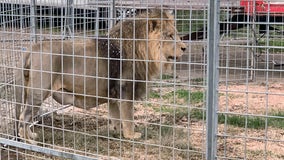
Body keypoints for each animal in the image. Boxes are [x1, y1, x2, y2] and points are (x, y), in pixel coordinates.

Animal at [15, 9, 187, 143]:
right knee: (24, 117)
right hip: (39, 92)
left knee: (26, 117)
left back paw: (31, 136)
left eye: (177, 35)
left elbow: (116, 116)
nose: (185, 48)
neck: (143, 50)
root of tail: (32, 48)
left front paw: (118, 131)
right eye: (170, 36)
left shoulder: (113, 94)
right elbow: (128, 116)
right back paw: (29, 141)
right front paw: (131, 136)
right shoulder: (126, 89)